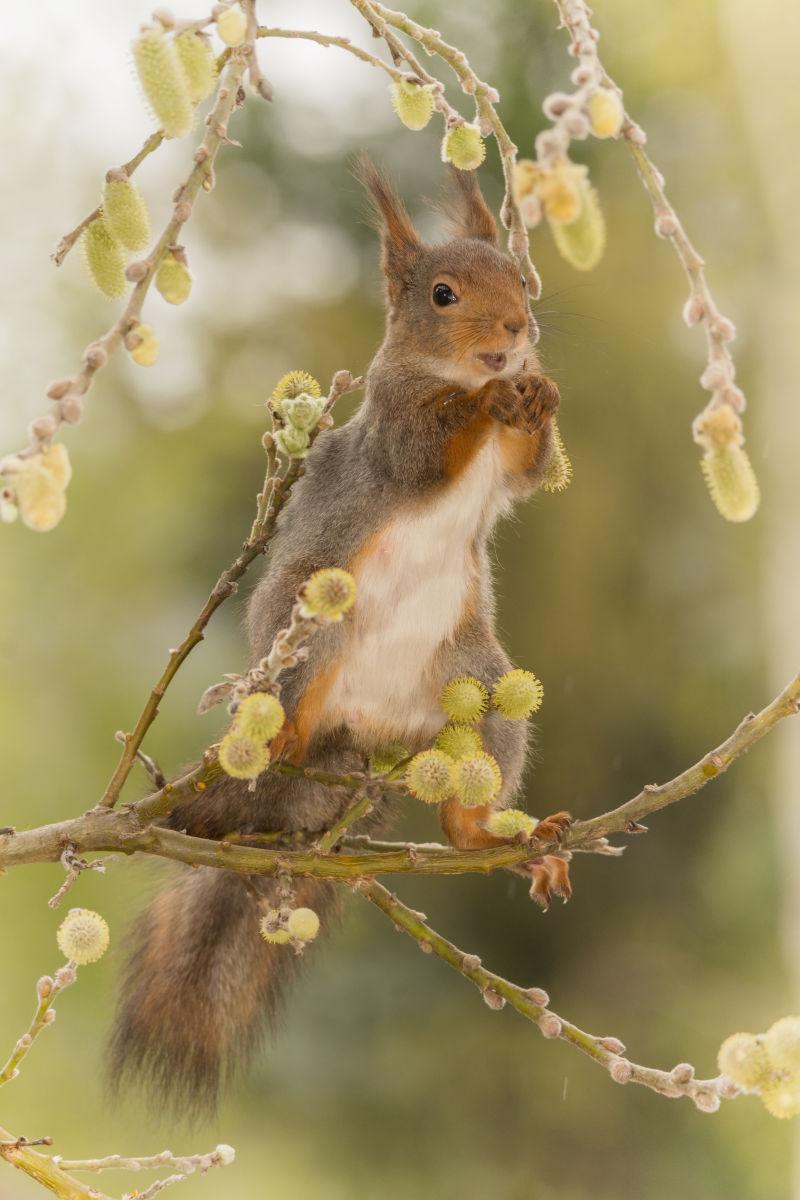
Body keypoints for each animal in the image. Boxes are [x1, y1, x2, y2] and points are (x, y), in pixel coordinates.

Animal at [112, 162, 573, 1113]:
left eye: (522, 280)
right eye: (442, 294)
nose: (516, 336)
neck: (442, 367)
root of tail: (361, 733)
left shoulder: (515, 473)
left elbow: (531, 470)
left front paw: (538, 395)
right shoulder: (398, 429)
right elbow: (431, 445)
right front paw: (491, 398)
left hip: (482, 688)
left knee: (463, 810)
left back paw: (495, 839)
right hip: (311, 636)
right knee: (287, 717)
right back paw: (277, 741)